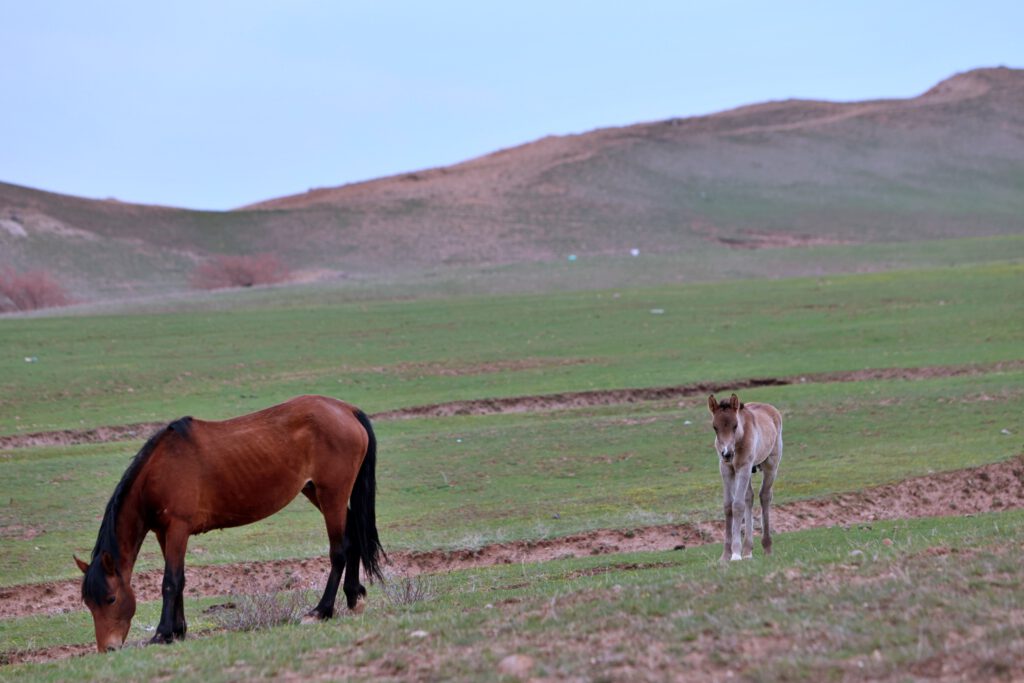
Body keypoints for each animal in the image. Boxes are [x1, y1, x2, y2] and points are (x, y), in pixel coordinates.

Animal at [71, 397, 385, 655]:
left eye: (111, 598)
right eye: (89, 603)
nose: (108, 648)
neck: (158, 471)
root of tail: (346, 410)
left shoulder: (178, 529)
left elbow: (170, 582)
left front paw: (162, 634)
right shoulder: (165, 533)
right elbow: (180, 580)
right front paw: (178, 631)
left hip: (331, 495)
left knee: (339, 550)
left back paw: (321, 610)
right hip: (317, 492)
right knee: (353, 538)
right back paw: (354, 598)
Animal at [708, 395, 778, 561]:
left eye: (735, 425)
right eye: (715, 427)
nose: (727, 453)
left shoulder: (744, 468)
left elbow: (737, 505)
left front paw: (735, 554)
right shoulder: (726, 469)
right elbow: (728, 506)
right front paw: (726, 555)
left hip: (771, 464)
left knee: (765, 496)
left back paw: (767, 547)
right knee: (749, 497)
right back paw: (747, 551)